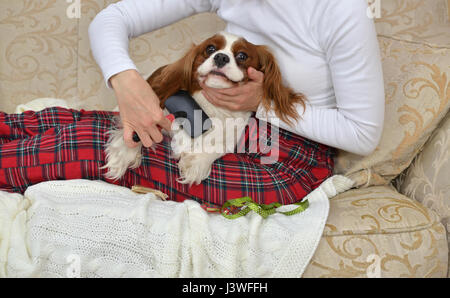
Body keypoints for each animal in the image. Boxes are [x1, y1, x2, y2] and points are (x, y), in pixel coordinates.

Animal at [102, 30, 306, 184]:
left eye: (242, 56)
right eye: (210, 48)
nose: (221, 57)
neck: (211, 107)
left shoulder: (231, 135)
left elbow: (218, 146)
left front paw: (196, 163)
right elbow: (137, 126)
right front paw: (123, 154)